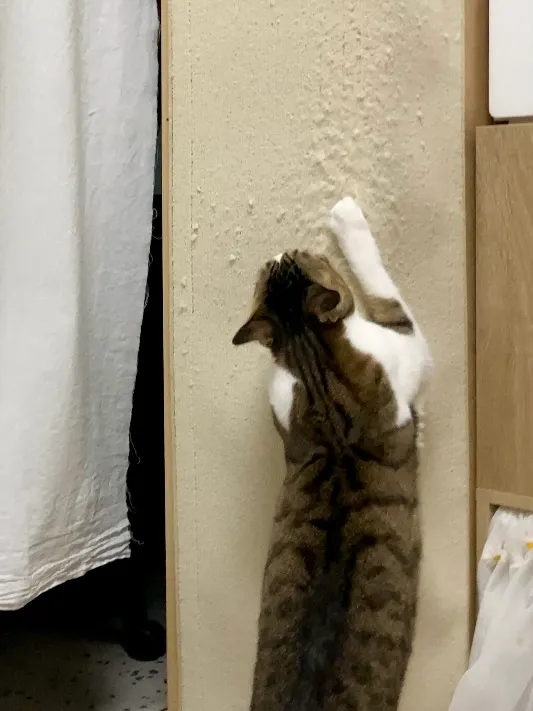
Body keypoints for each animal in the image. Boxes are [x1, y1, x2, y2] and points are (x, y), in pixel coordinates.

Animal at [232, 196, 432, 711]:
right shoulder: (407, 344)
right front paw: (347, 217)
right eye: (305, 255)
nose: (281, 249)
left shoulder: (282, 404)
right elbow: (385, 291)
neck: (315, 366)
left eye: (290, 261)